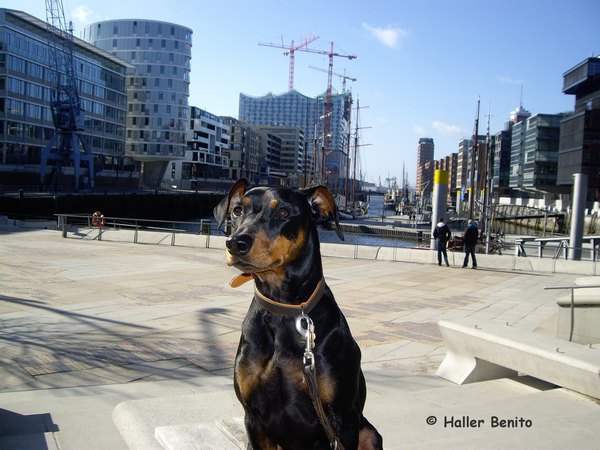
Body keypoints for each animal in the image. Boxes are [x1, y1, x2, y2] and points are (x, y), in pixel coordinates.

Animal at [214, 179, 384, 450]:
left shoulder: (343, 418)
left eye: (284, 213)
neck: (285, 309)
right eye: (238, 210)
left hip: (367, 432)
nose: (235, 243)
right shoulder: (253, 418)